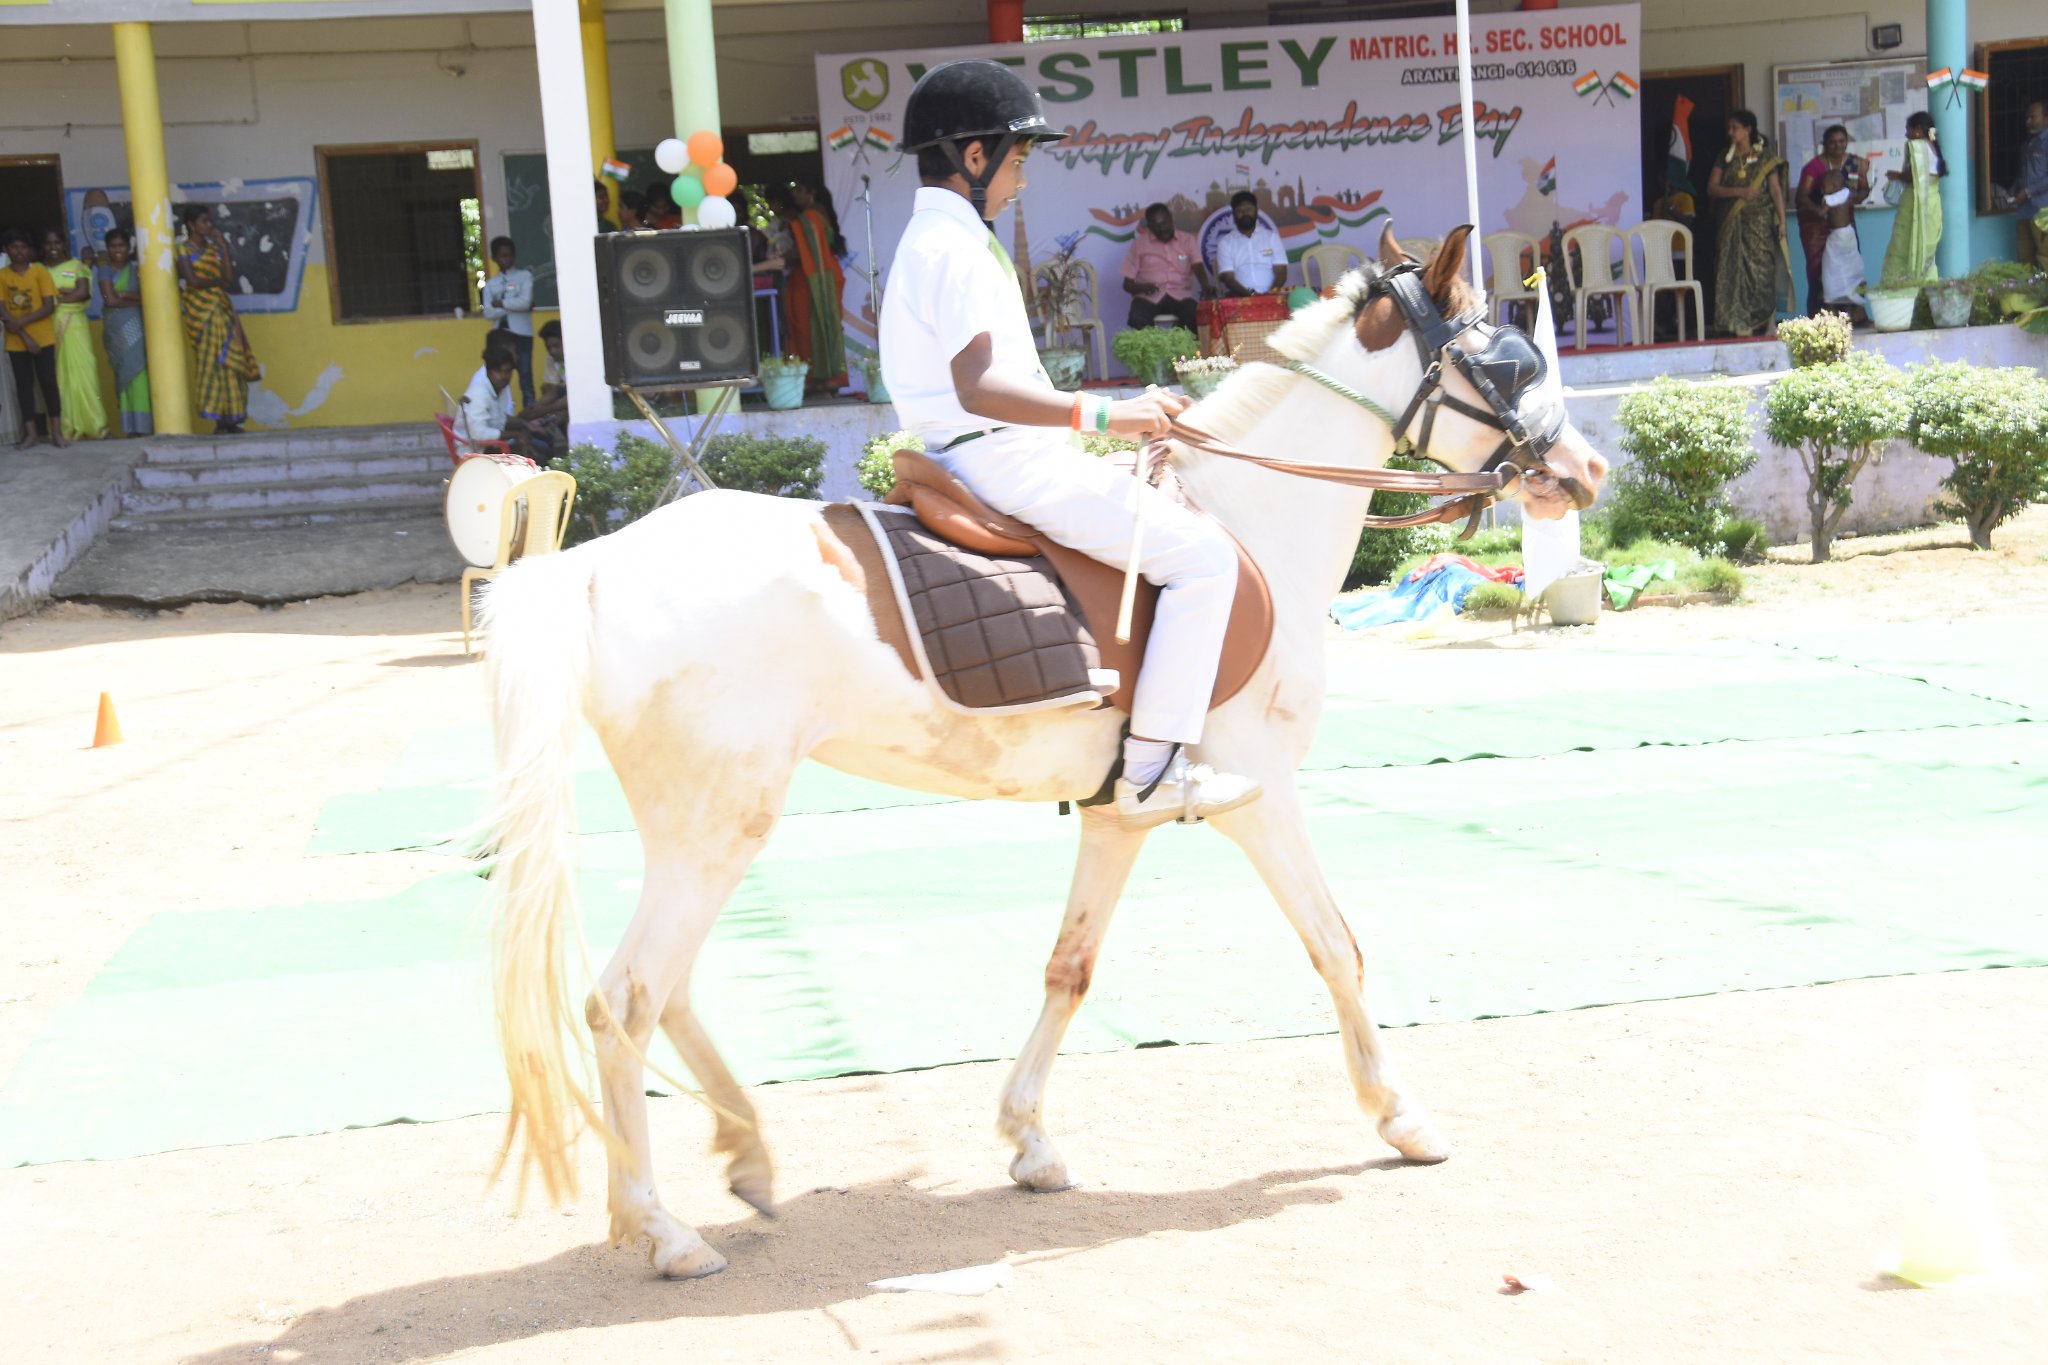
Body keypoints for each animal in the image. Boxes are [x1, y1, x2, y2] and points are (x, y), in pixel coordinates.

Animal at [479, 229, 1597, 1285]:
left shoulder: (1116, 810)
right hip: (717, 825)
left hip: (703, 829)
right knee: (624, 1001)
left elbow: (1072, 967)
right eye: (1506, 364)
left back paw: (744, 1153)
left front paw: (1028, 1139)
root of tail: (596, 567)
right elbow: (1336, 946)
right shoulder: (1261, 795)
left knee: (665, 993)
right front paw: (1400, 1117)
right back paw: (663, 1231)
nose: (1582, 472)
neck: (1248, 521)